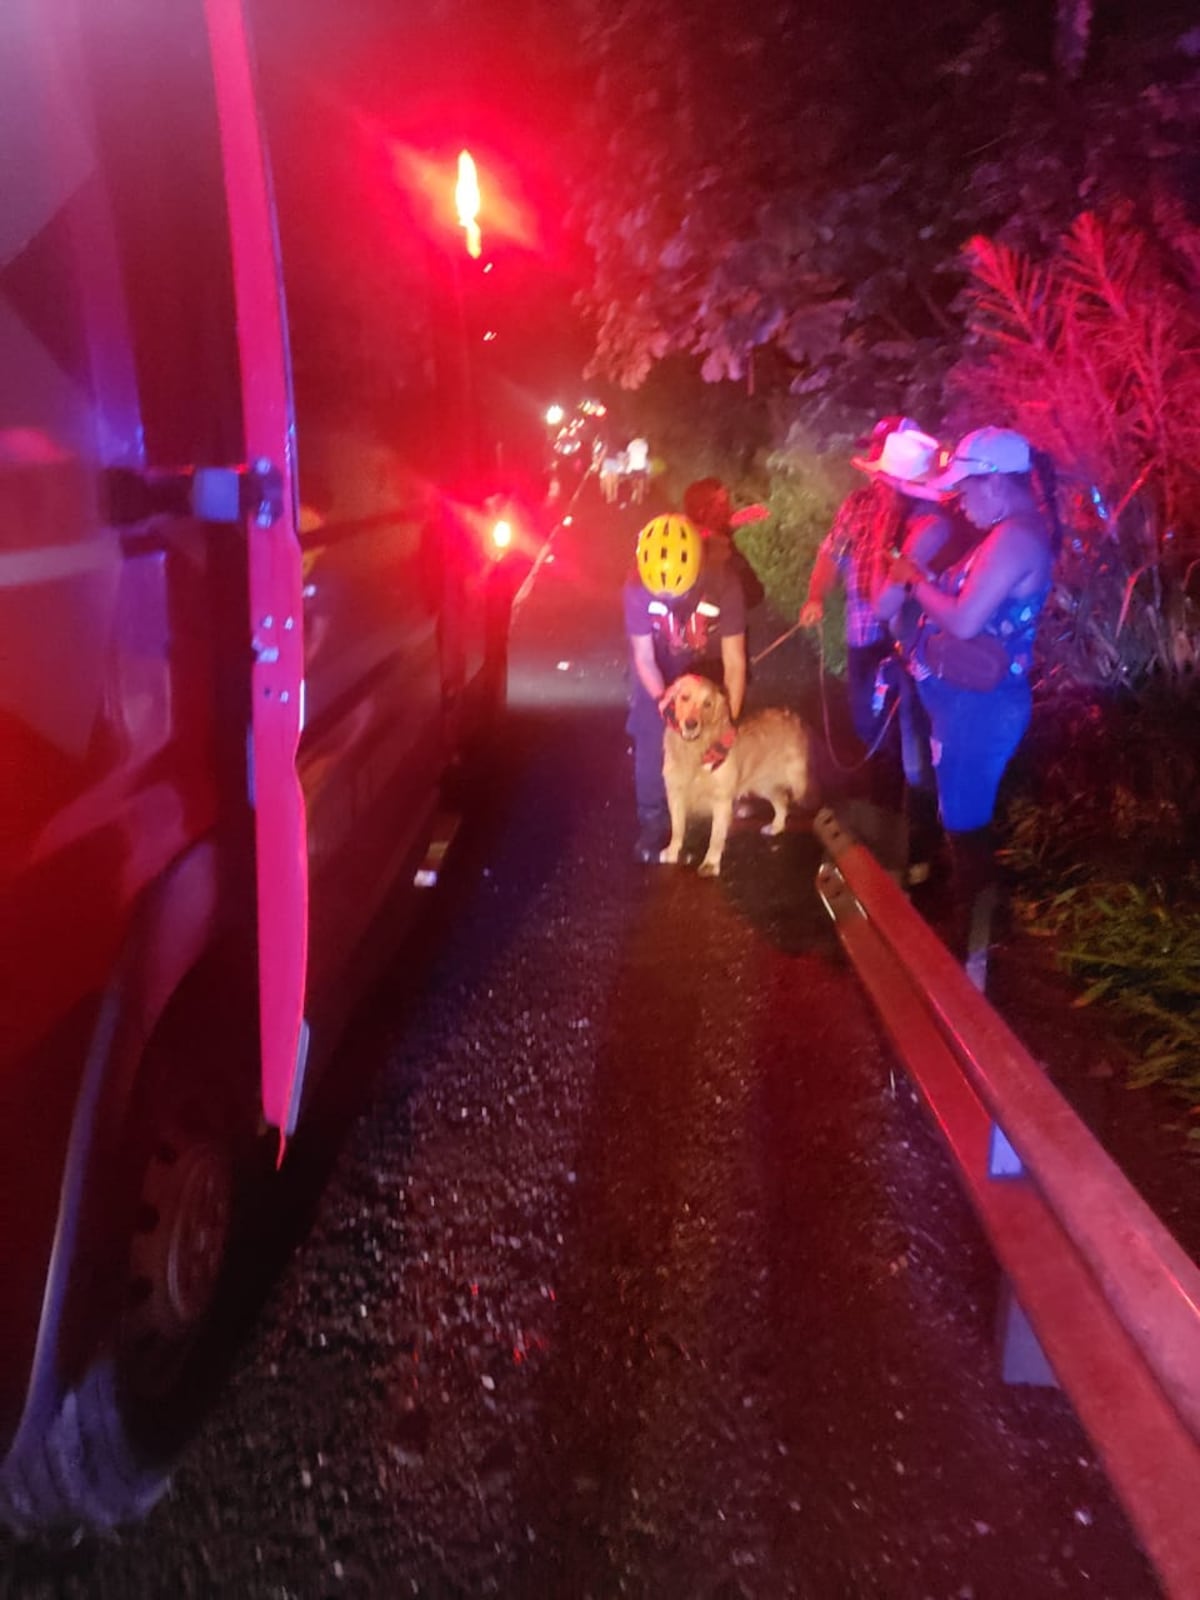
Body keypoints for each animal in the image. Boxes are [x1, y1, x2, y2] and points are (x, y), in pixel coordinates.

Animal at [659, 672, 819, 876]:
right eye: (684, 697)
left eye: (707, 704)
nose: (691, 724)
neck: (697, 750)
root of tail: (792, 715)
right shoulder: (675, 793)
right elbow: (677, 828)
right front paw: (672, 851)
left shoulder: (721, 800)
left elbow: (716, 837)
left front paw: (710, 863)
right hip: (764, 784)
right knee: (782, 801)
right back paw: (775, 827)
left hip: (799, 783)